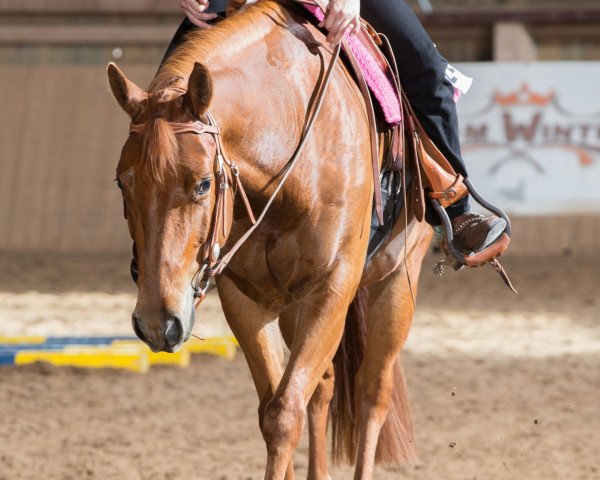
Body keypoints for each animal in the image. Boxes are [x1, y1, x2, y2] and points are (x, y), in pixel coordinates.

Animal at [108, 0, 432, 480]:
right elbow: (272, 409)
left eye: (204, 184)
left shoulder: (331, 288)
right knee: (325, 386)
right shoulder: (246, 298)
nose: (155, 323)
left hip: (397, 279)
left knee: (372, 392)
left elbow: (284, 414)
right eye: (121, 183)